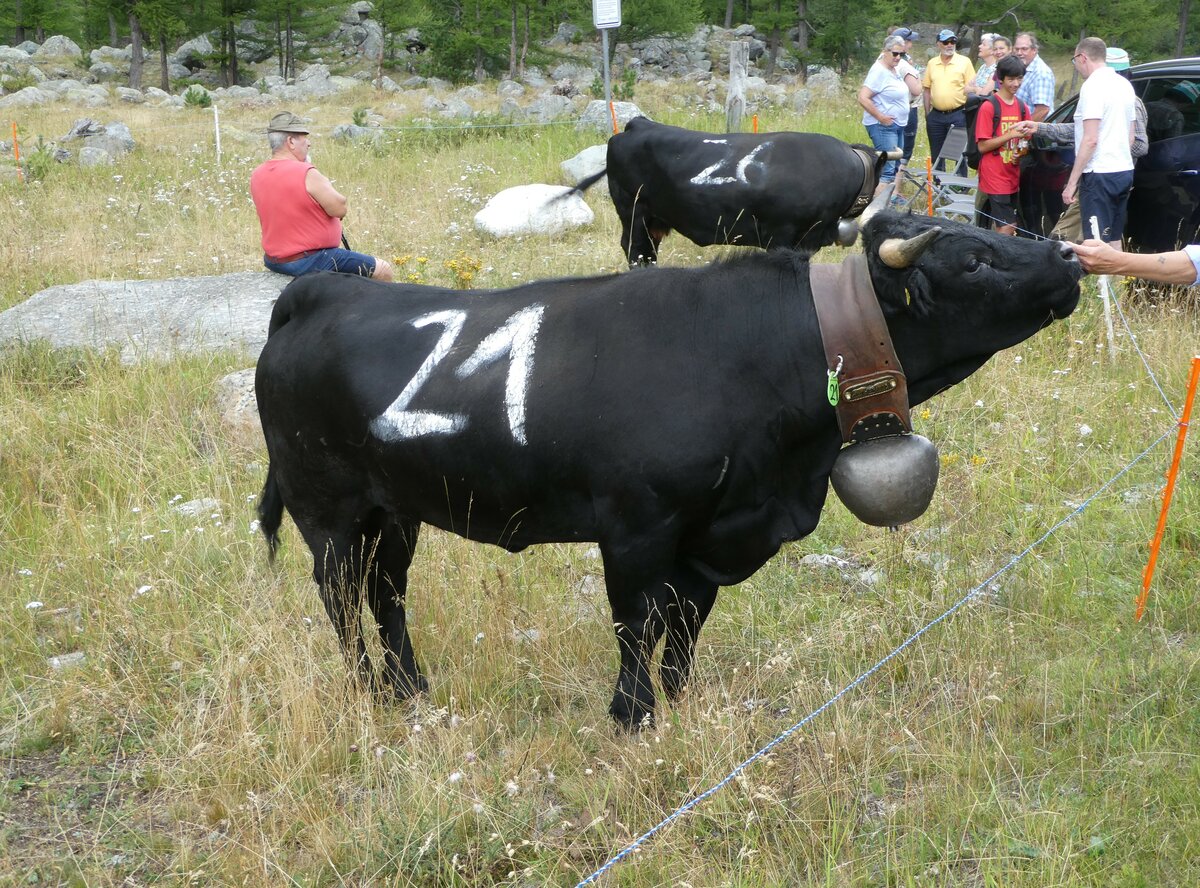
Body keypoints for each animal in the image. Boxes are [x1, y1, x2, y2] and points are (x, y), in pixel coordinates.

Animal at [254, 212, 1081, 729]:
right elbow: (636, 622)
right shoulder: (636, 524)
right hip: (325, 507)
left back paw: (409, 687)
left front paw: (681, 702)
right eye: (974, 258)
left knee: (387, 592)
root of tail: (320, 291)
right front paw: (633, 715)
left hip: (396, 508)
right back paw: (369, 691)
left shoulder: (712, 531)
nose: (1070, 257)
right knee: (340, 597)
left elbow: (686, 620)